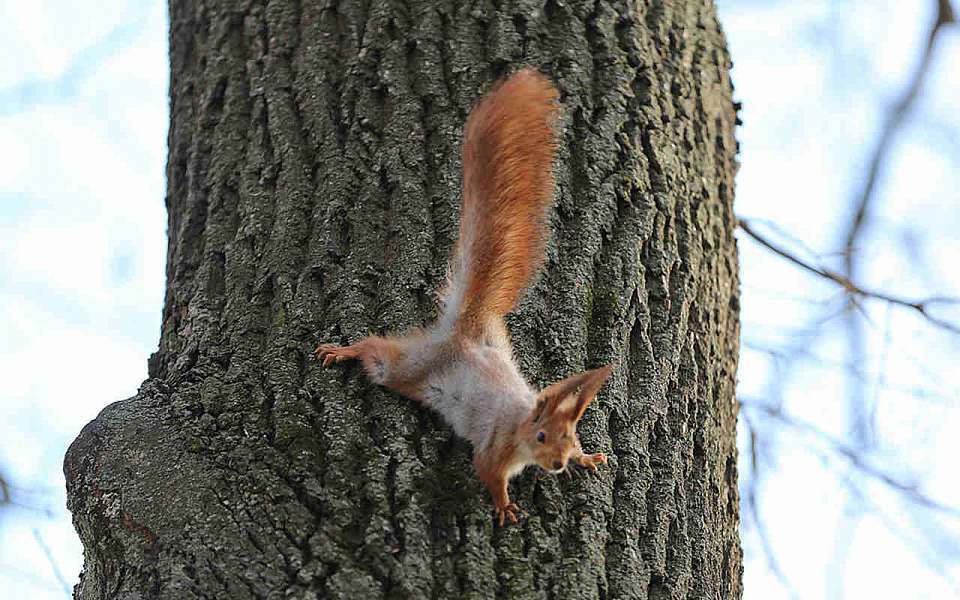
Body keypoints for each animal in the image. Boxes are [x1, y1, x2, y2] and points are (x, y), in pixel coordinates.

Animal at [316, 69, 616, 524]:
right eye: (541, 435)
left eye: (570, 436)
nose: (558, 464)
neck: (520, 422)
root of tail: (462, 335)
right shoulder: (495, 448)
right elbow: (487, 472)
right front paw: (505, 506)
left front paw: (587, 458)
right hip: (410, 368)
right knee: (377, 351)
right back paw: (342, 351)